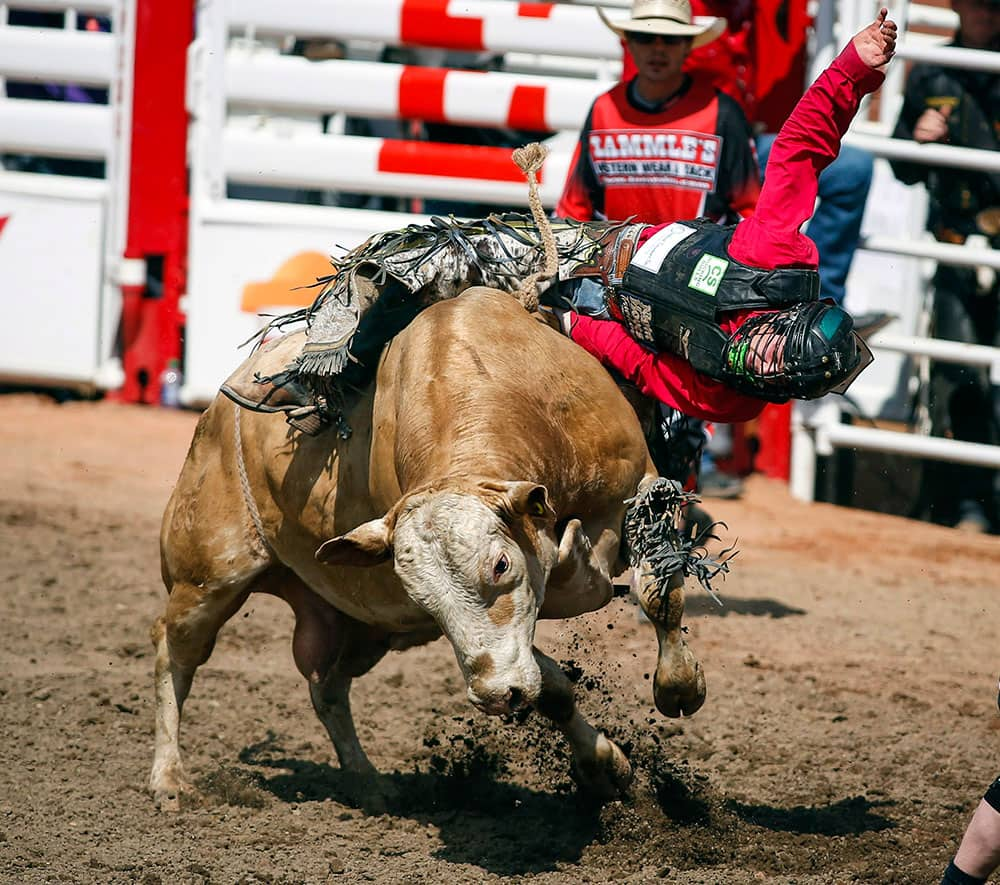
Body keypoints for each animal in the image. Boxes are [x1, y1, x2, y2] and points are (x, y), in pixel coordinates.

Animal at [148, 286, 716, 812]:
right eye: (423, 598)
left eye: (500, 565)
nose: (494, 697)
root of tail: (216, 413)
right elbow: (551, 687)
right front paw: (604, 768)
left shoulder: (640, 484)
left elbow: (658, 596)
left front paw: (679, 688)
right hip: (206, 577)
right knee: (174, 654)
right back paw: (170, 777)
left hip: (355, 626)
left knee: (326, 687)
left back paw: (368, 782)